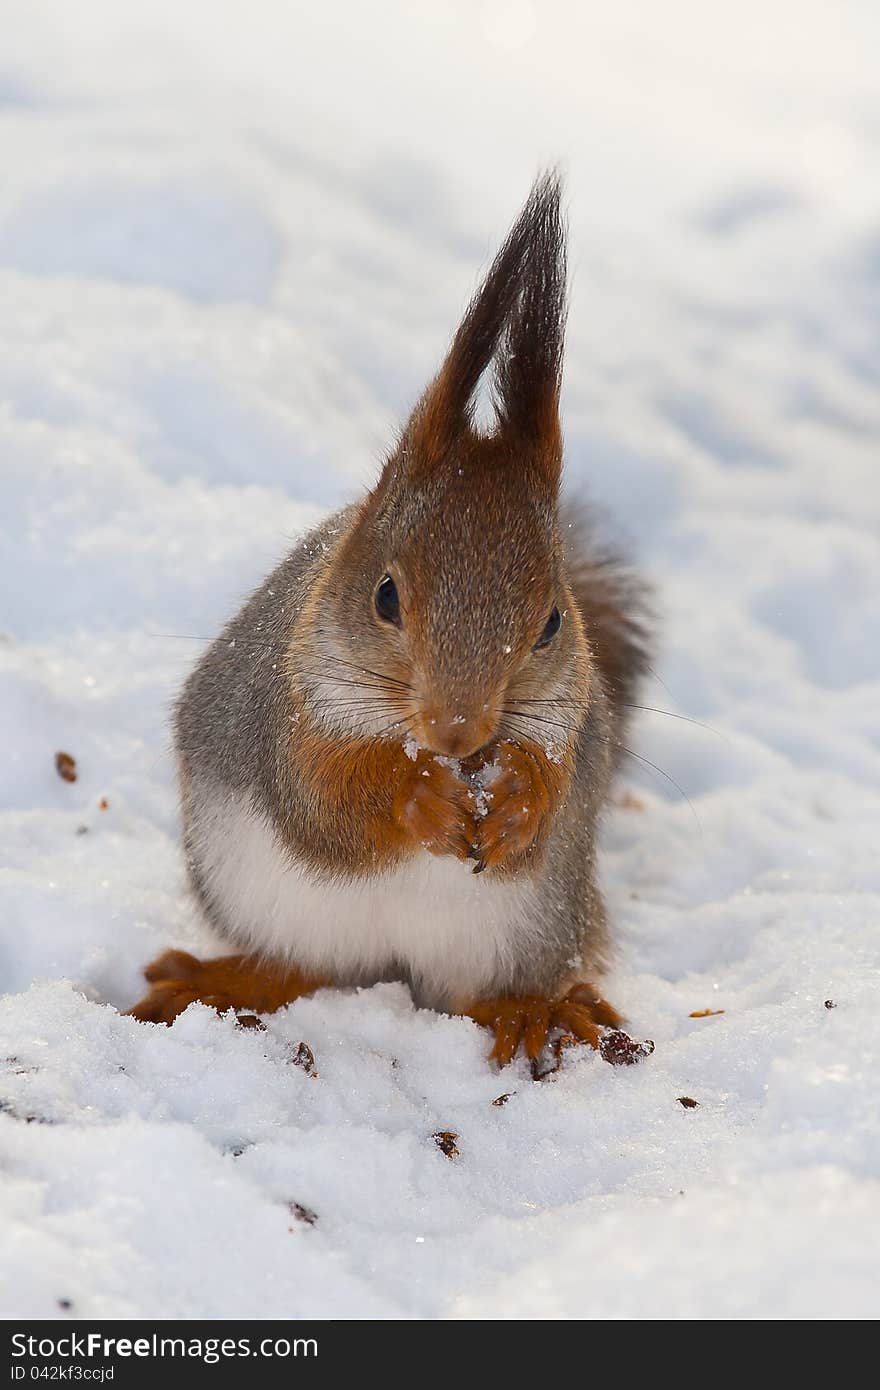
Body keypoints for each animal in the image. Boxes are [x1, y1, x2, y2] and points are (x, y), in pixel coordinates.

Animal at [130, 173, 653, 1061]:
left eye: (552, 623)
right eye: (384, 597)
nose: (458, 731)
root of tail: (391, 965)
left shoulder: (571, 725)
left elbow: (548, 802)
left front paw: (519, 806)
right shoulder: (288, 714)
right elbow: (323, 804)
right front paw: (416, 799)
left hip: (536, 926)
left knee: (482, 991)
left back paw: (532, 1010)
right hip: (260, 893)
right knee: (300, 966)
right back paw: (227, 980)